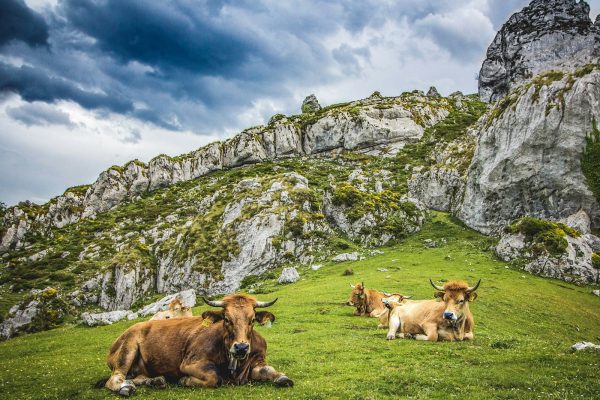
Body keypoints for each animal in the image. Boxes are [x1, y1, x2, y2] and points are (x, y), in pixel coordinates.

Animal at [96, 294, 292, 396]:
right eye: (226, 319)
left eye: (252, 320)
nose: (241, 347)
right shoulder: (190, 362)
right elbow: (213, 377)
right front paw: (185, 380)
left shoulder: (257, 360)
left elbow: (268, 370)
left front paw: (282, 378)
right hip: (127, 349)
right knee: (115, 378)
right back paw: (126, 387)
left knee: (138, 377)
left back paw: (156, 381)